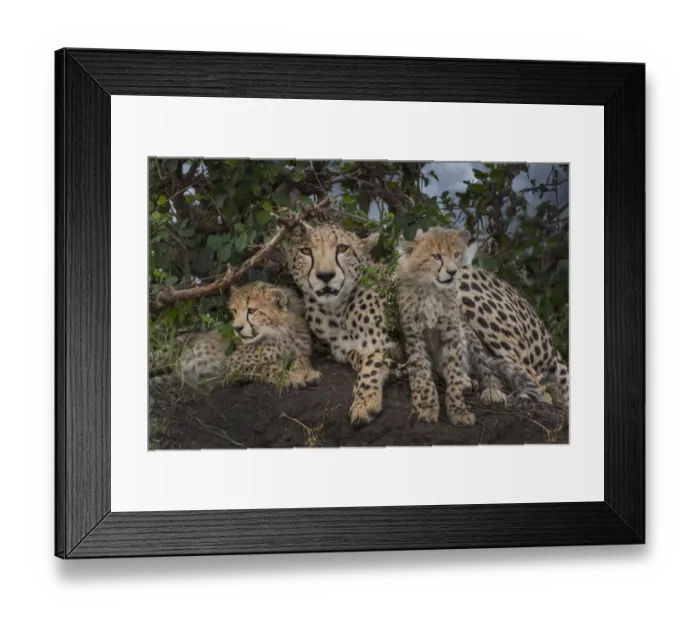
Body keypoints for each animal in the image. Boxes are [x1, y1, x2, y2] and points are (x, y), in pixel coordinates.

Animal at [178, 281, 322, 389]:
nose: (237, 328)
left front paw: (307, 372)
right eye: (234, 311)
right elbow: (267, 367)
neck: (281, 332)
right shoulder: (232, 365)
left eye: (251, 311)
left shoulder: (300, 351)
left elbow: (302, 359)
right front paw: (292, 377)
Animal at [284, 224, 402, 427]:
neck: (336, 310)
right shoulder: (338, 347)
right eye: (306, 251)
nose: (325, 275)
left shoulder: (389, 345)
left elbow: (371, 360)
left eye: (342, 248)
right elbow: (354, 354)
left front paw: (364, 402)